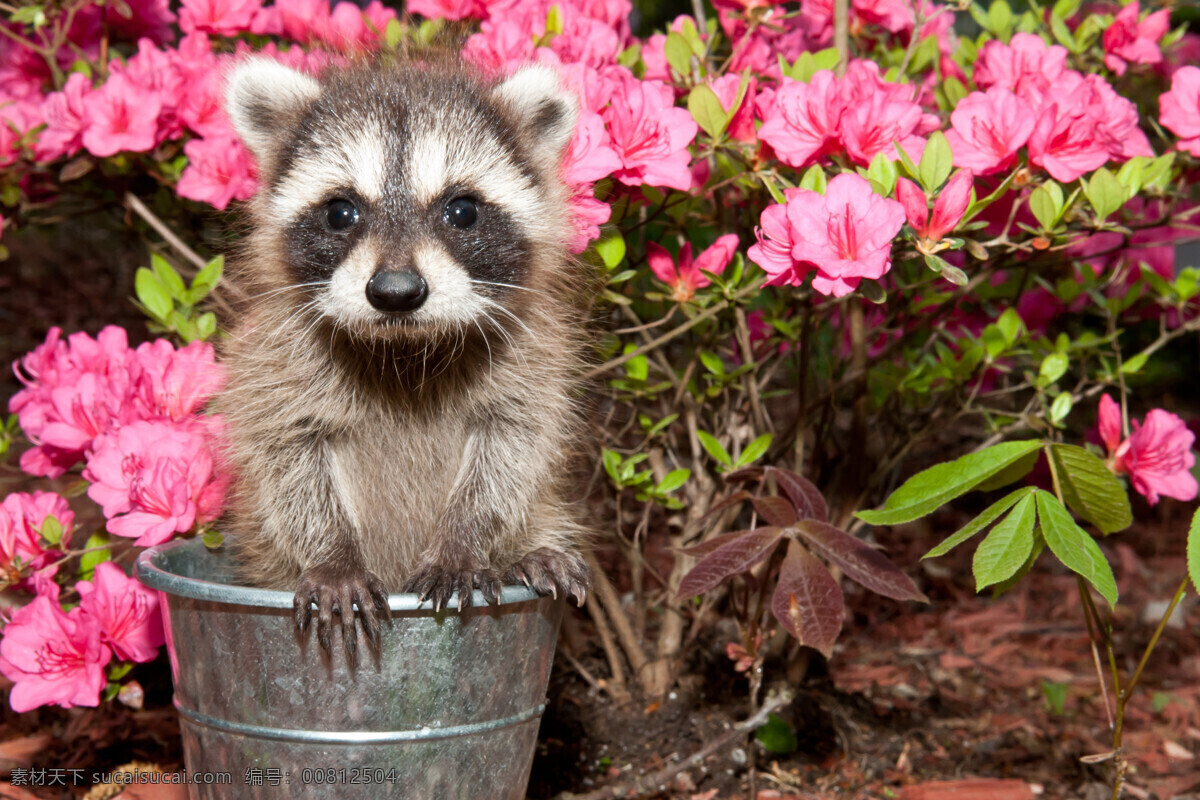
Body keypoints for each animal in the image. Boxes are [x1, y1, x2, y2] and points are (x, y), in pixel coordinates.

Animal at [218, 54, 592, 657]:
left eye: (461, 211)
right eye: (340, 212)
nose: (395, 291)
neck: (404, 345)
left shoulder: (530, 355)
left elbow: (512, 447)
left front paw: (465, 539)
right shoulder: (277, 358)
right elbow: (287, 456)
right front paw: (332, 554)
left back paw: (530, 551)